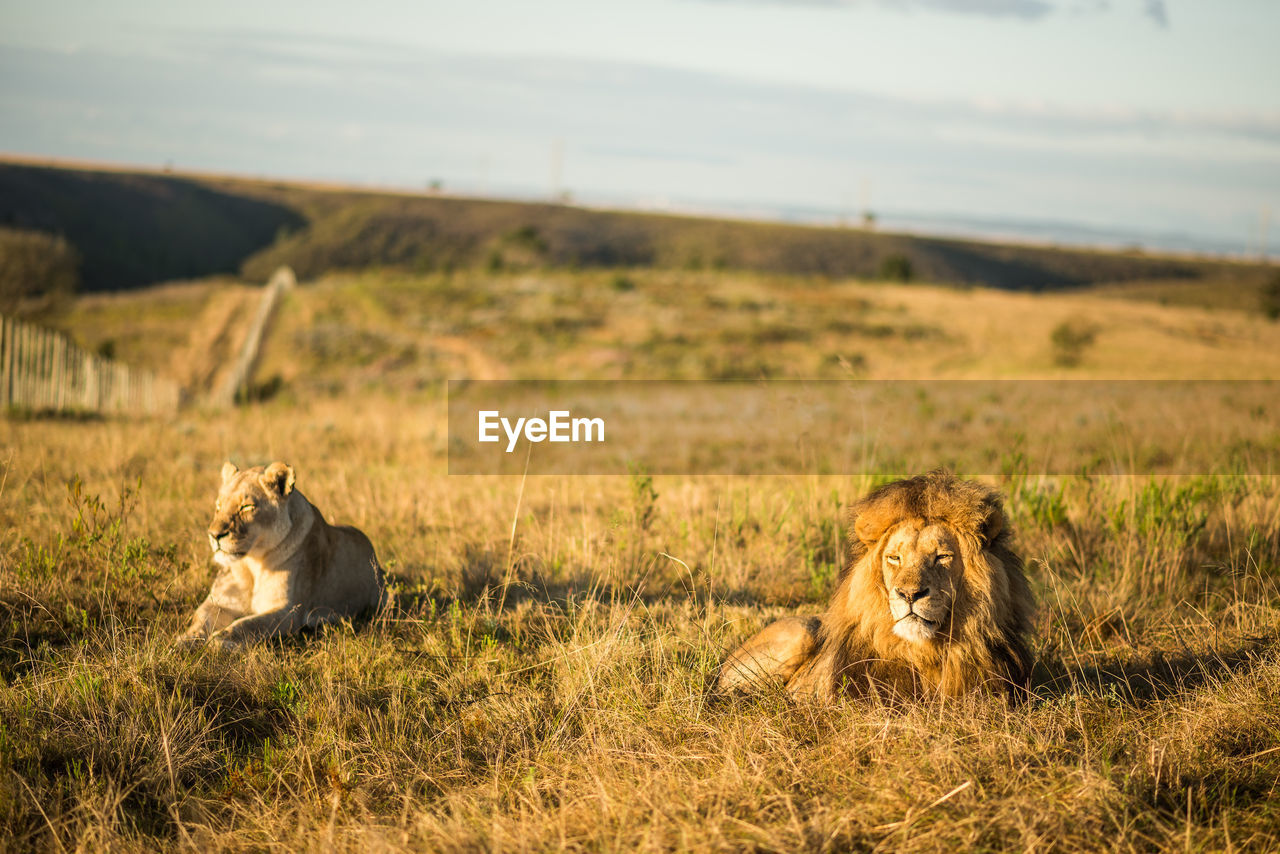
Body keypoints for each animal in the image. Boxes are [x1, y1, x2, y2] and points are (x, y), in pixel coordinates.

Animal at [177, 463, 384, 650]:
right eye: (219, 506)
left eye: (246, 507)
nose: (214, 535)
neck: (251, 565)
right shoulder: (220, 602)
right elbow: (200, 619)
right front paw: (184, 641)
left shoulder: (287, 611)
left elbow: (248, 624)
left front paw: (221, 640)